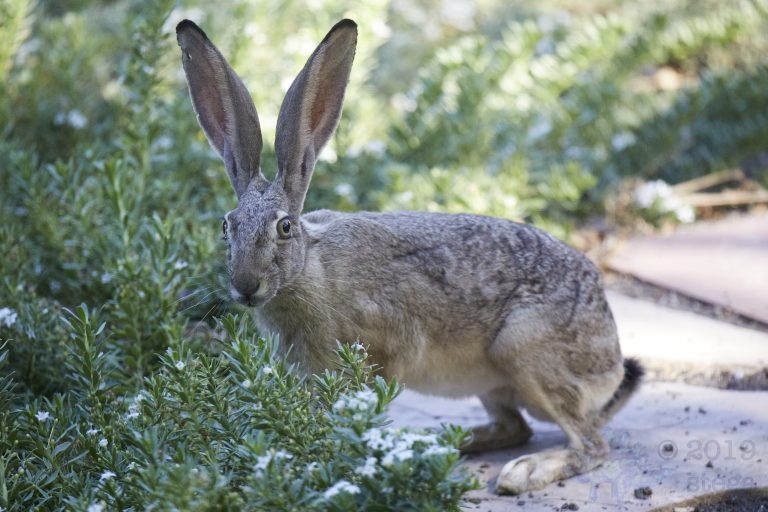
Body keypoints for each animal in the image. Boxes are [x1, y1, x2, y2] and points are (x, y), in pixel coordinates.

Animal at [176, 18, 643, 495]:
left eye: (284, 228)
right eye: (227, 226)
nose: (245, 286)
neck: (309, 270)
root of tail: (610, 357)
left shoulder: (380, 348)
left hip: (527, 352)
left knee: (588, 444)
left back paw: (525, 471)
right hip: (495, 382)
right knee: (516, 427)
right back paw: (440, 442)